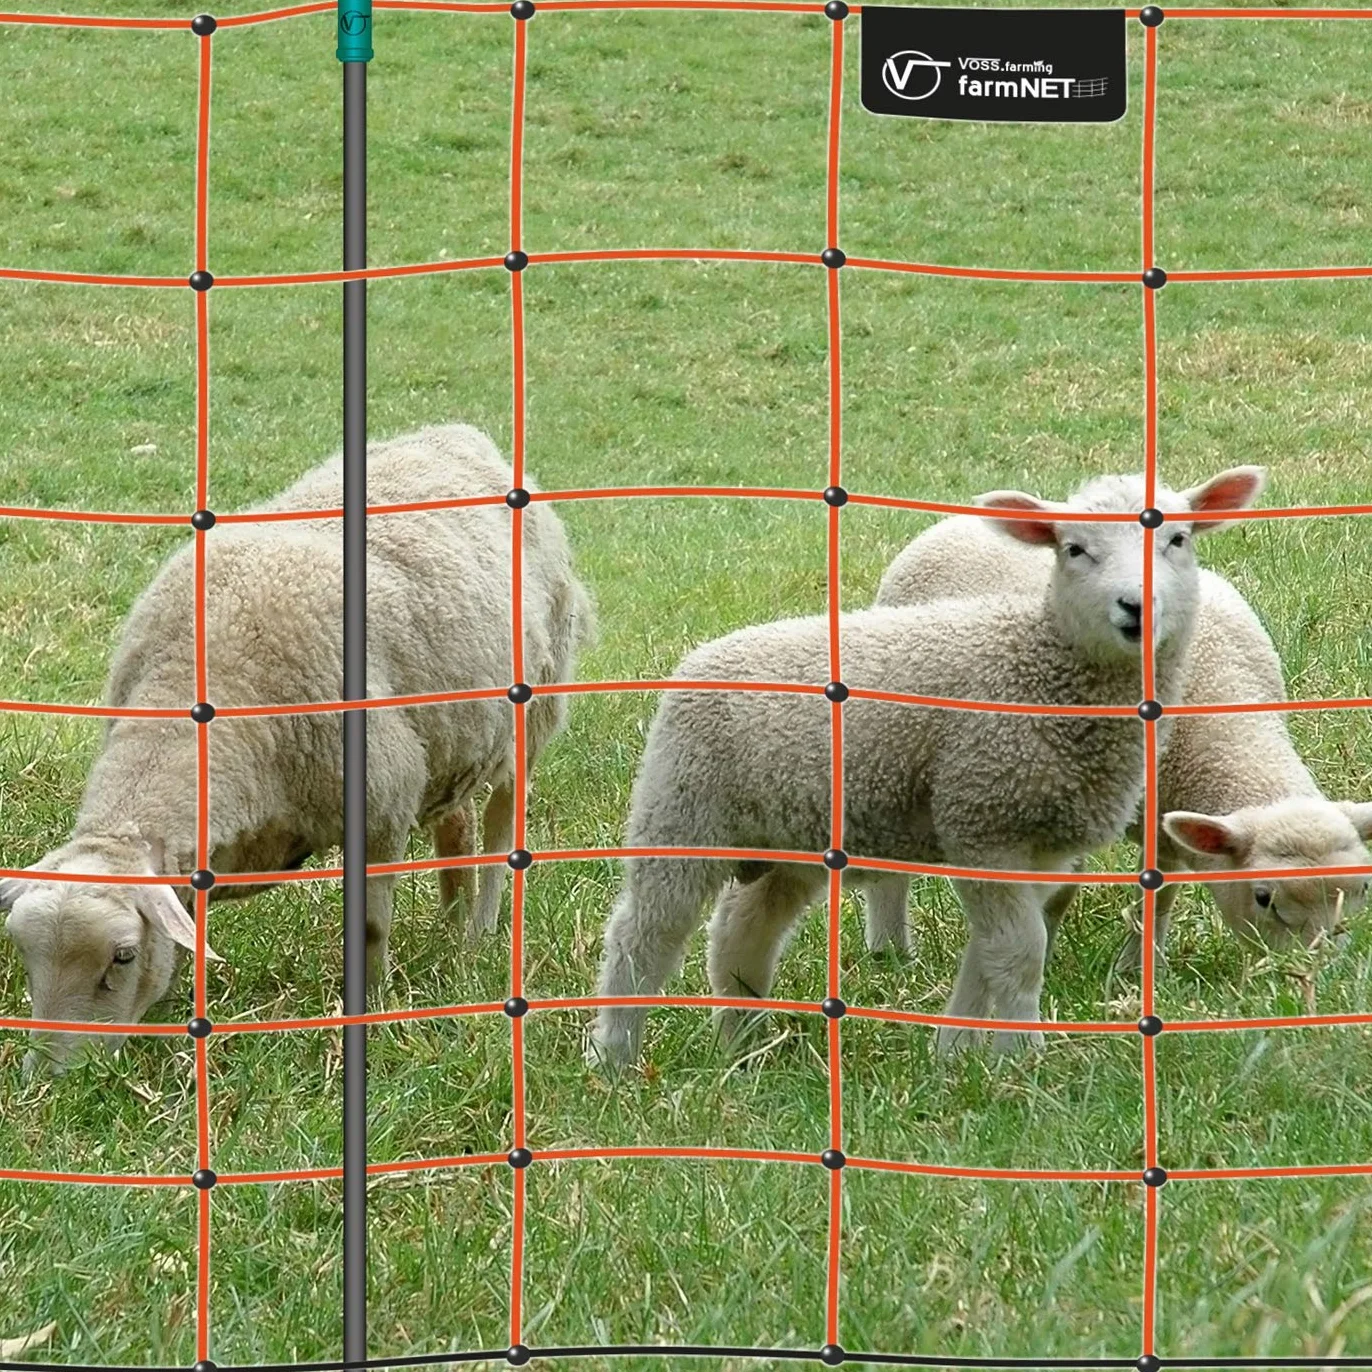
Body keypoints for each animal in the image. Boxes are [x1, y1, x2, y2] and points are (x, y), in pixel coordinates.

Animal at [1, 423, 593, 1075]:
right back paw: (451, 922)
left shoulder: (381, 801)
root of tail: (457, 434)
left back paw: (477, 935)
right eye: (24, 954)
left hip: (534, 705)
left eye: (123, 956)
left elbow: (369, 927)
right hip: (449, 738)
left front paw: (372, 1005)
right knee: (455, 824)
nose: (51, 1081)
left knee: (500, 823)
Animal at [586, 467, 1264, 1067]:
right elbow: (1020, 952)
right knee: (643, 933)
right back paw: (614, 1055)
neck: (1041, 666)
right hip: (682, 805)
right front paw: (1022, 1058)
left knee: (743, 930)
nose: (1135, 607)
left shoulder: (1041, 843)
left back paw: (743, 1046)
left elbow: (990, 952)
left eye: (1178, 540)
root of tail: (703, 654)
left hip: (784, 836)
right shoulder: (983, 819)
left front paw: (956, 1052)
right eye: (1073, 549)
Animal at [869, 511, 1372, 970]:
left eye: (1362, 888)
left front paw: (1140, 967)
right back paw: (889, 952)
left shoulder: (1164, 820)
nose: (1316, 975)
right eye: (1264, 897)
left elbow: (1161, 891)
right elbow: (1061, 890)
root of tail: (957, 521)